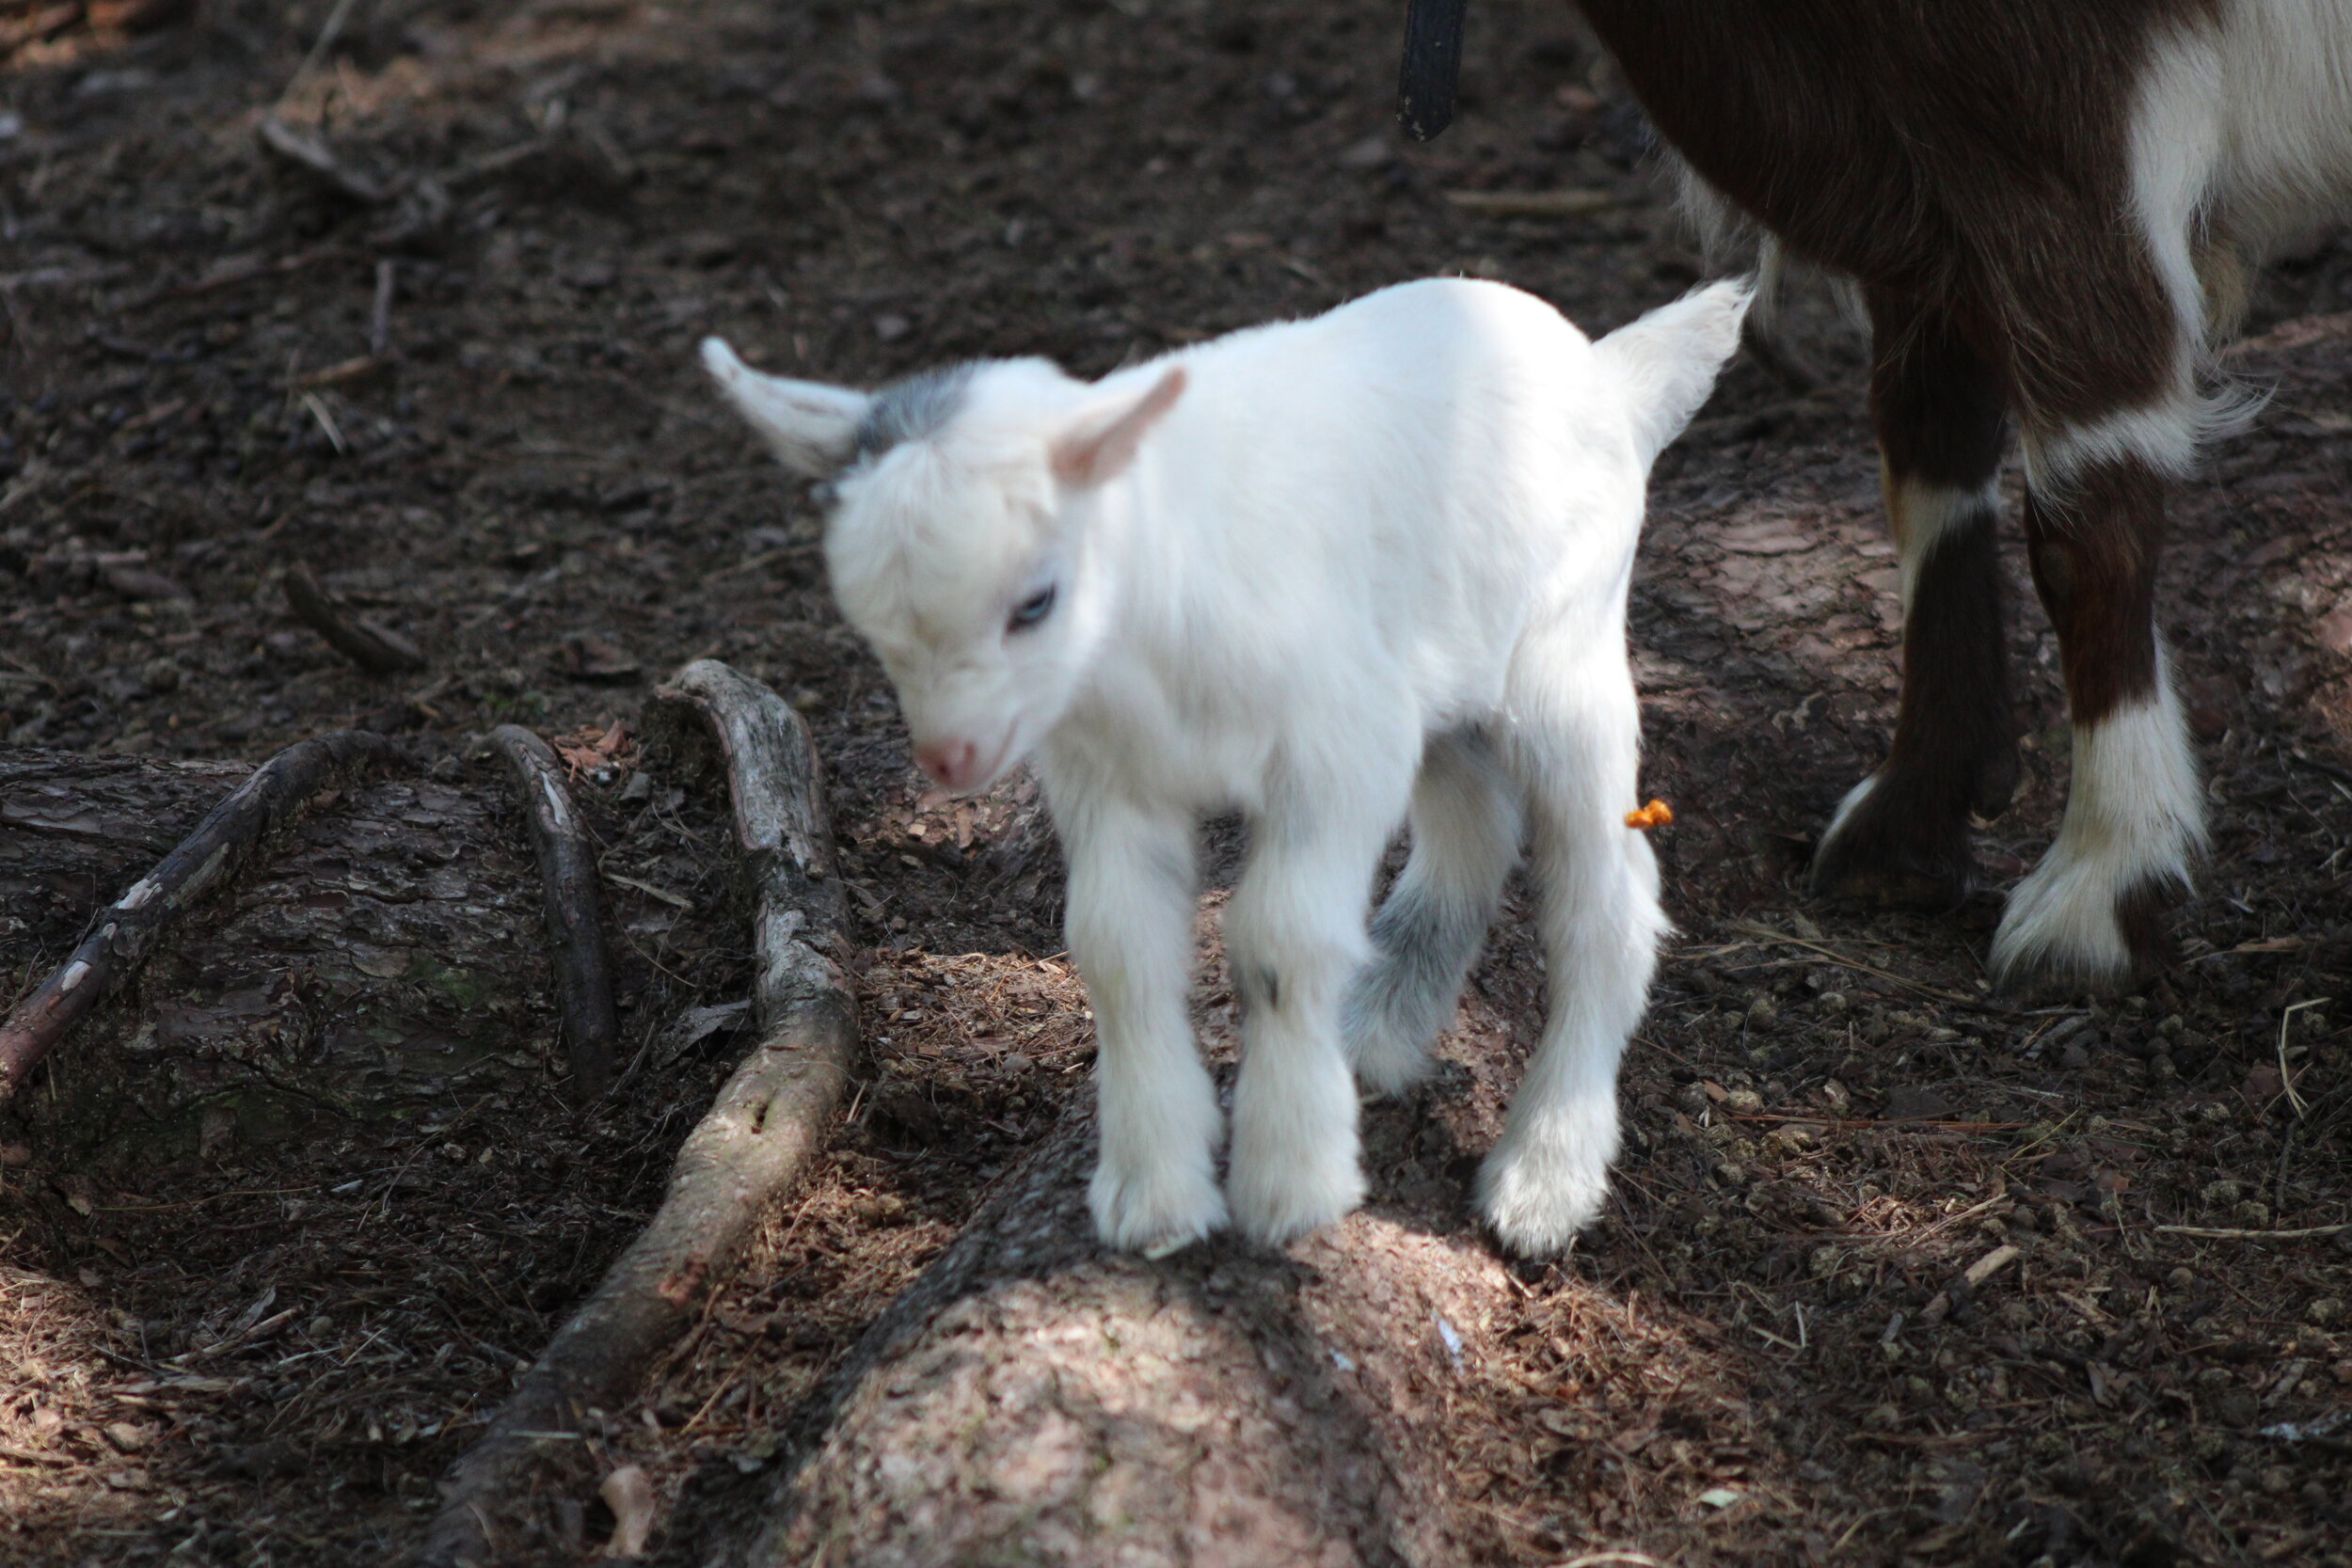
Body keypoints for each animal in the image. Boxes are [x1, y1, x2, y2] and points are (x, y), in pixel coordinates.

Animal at [703, 278, 1750, 1255]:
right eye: (867, 618)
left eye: (1035, 601)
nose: (950, 756)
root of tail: (1611, 375)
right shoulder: (1108, 776)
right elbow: (1117, 944)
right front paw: (1153, 1191)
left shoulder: (1336, 749)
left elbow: (1278, 937)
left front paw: (1290, 1180)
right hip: (1442, 671)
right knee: (1475, 823)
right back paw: (1377, 1026)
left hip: (1563, 658)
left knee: (1606, 898)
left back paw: (1543, 1177)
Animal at [1557, 2, 2352, 995]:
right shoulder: (1911, 158)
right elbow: (1929, 436)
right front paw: (1912, 811)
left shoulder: (2053, 126)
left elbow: (2088, 517)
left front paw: (2100, 888)